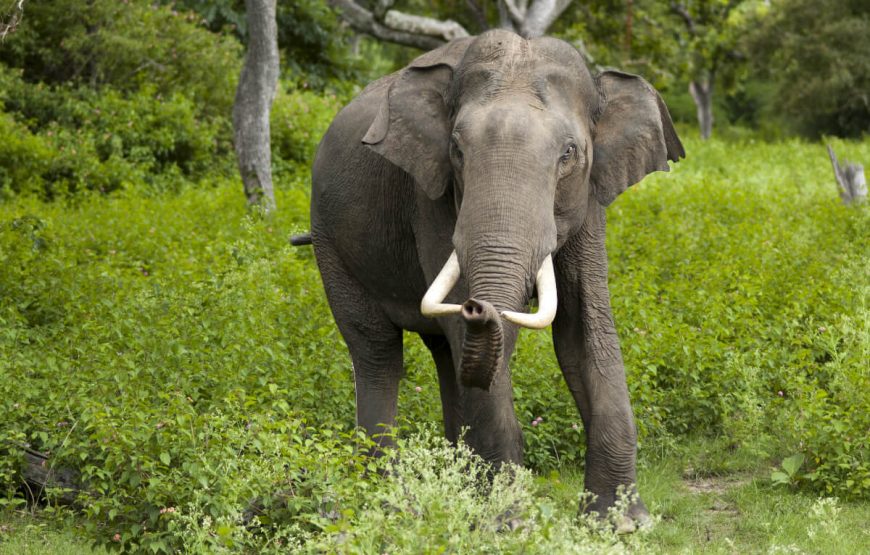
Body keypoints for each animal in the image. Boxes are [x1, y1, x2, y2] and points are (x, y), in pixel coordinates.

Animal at [310, 29, 684, 524]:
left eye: (569, 154)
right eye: (456, 150)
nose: (477, 306)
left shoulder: (589, 199)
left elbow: (584, 329)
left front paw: (622, 523)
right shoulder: (431, 195)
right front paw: (509, 522)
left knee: (446, 356)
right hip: (329, 242)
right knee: (377, 352)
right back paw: (386, 500)